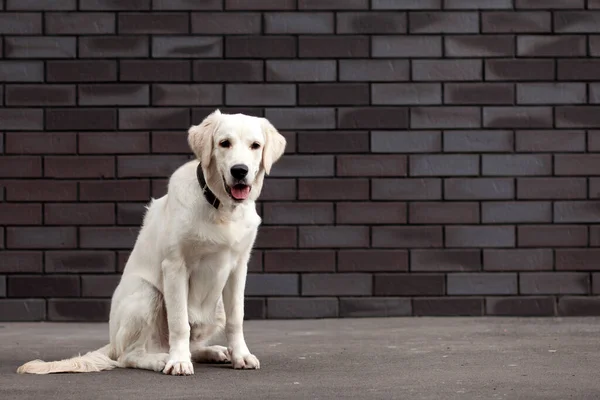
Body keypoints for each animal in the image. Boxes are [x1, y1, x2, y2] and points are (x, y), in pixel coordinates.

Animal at [19, 109, 288, 376]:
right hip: (148, 294)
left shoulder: (238, 267)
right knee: (129, 356)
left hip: (215, 307)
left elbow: (236, 319)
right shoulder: (175, 266)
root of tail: (112, 343)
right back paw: (161, 359)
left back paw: (212, 352)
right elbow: (179, 323)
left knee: (189, 345)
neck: (220, 208)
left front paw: (240, 355)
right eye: (224, 143)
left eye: (255, 145)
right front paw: (178, 362)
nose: (239, 170)